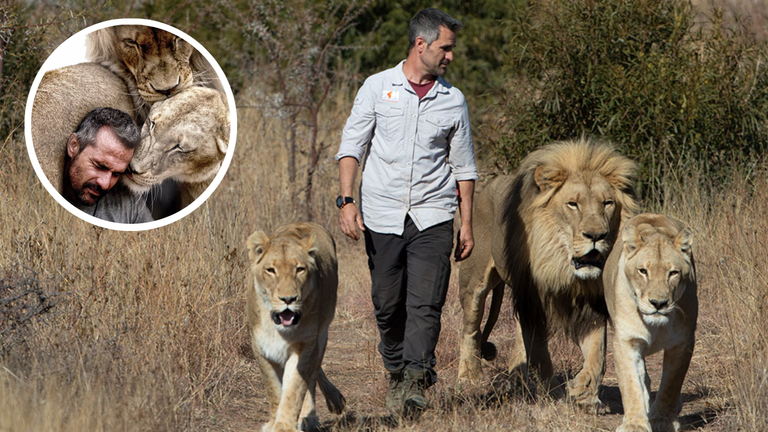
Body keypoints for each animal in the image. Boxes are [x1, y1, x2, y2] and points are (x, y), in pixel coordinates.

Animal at [245, 222, 346, 432]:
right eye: (271, 270)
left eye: (299, 269)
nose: (288, 299)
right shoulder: (261, 348)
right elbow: (274, 389)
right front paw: (273, 422)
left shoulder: (304, 345)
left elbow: (294, 389)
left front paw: (284, 426)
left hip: (321, 335)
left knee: (313, 374)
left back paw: (313, 415)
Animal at [458, 138, 638, 409]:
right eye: (573, 204)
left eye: (607, 203)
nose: (596, 235)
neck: (562, 267)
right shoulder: (534, 301)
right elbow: (541, 353)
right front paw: (552, 393)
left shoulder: (591, 304)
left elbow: (598, 353)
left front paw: (584, 392)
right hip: (474, 281)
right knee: (471, 330)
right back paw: (469, 378)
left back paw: (518, 381)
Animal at [603, 214, 697, 432]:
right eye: (643, 271)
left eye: (673, 273)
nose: (658, 303)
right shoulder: (625, 341)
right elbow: (631, 384)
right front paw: (635, 424)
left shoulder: (683, 342)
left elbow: (671, 384)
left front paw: (662, 420)